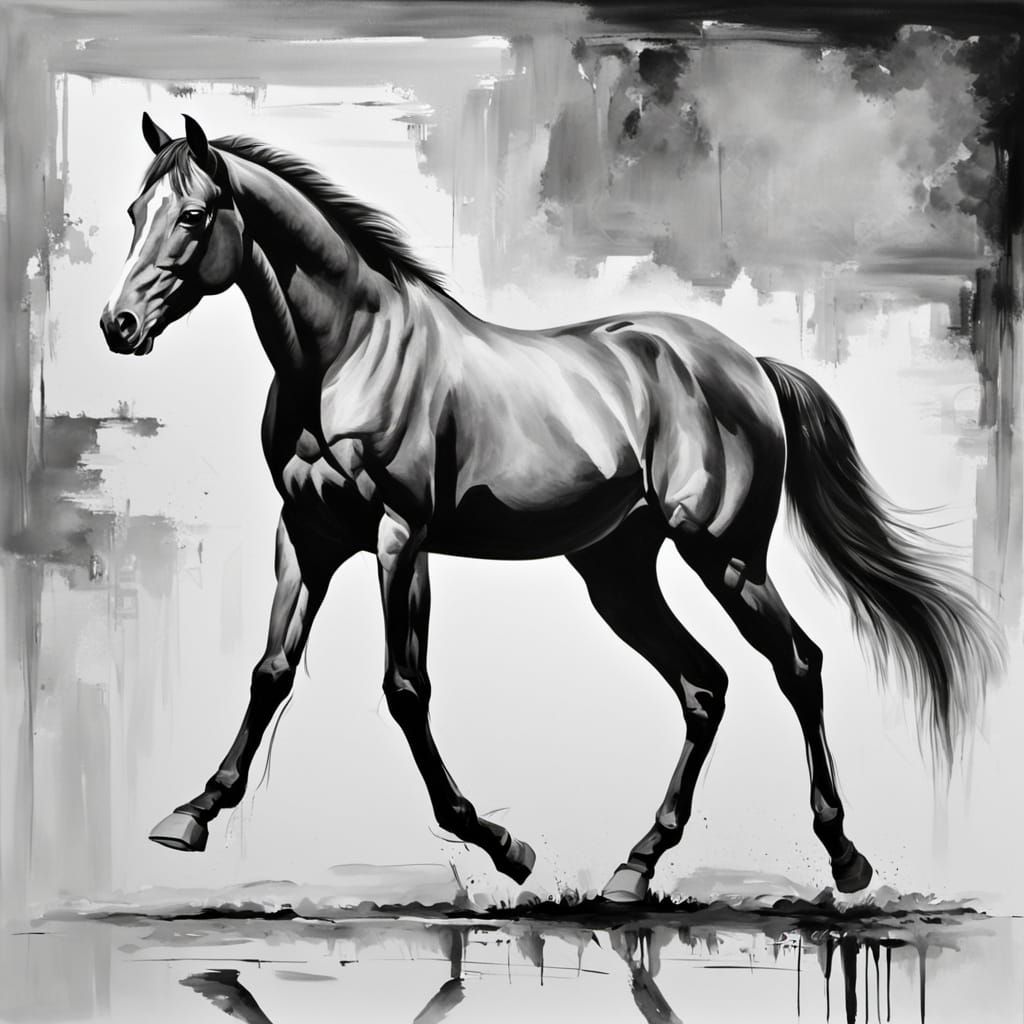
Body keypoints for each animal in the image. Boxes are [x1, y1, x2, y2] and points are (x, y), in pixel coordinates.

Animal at [100, 113, 1002, 902]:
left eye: (191, 214)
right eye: (135, 211)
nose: (119, 325)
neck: (350, 355)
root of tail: (747, 362)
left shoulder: (401, 538)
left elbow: (405, 688)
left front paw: (503, 846)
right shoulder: (309, 536)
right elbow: (271, 671)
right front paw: (191, 814)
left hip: (727, 555)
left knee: (799, 665)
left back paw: (845, 858)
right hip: (618, 571)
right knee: (705, 686)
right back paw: (637, 865)